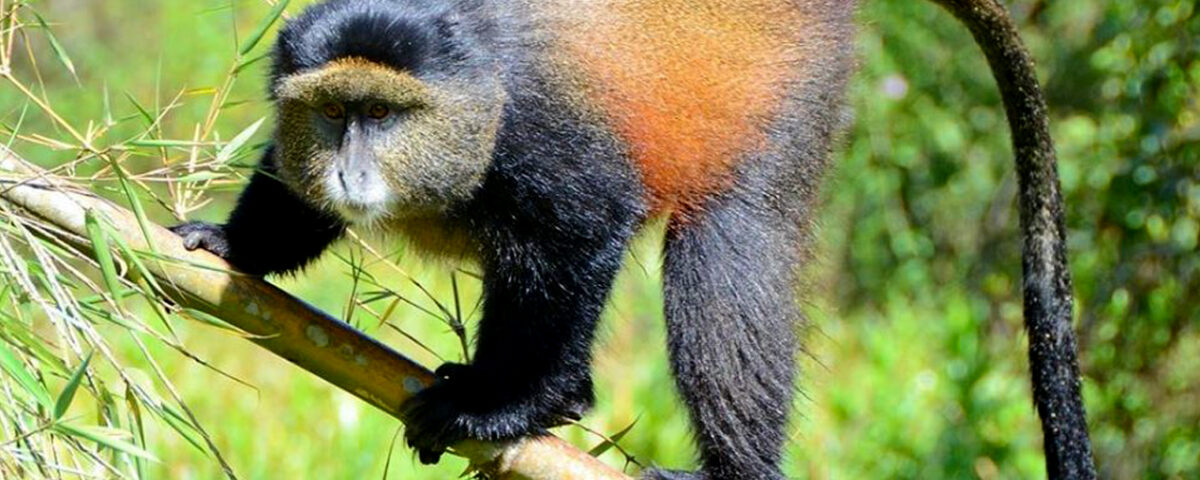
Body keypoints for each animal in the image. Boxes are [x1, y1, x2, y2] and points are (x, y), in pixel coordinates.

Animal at [170, 0, 1095, 478]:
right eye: (334, 112)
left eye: (384, 114)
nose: (352, 172)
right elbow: (288, 190)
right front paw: (229, 244)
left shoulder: (546, 136)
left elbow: (580, 235)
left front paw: (510, 406)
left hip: (783, 94)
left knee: (726, 252)